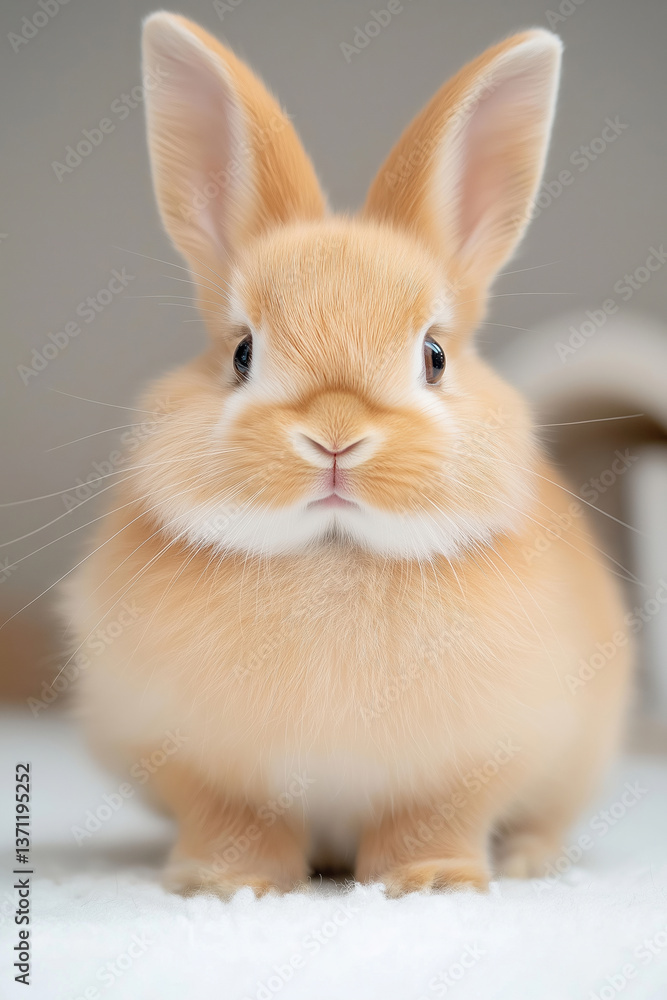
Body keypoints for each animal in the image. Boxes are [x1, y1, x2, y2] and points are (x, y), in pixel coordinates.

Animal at [64, 12, 632, 898]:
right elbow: (234, 823)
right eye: (241, 354)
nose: (335, 436)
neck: (333, 553)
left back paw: (529, 861)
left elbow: (432, 821)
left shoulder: (464, 766)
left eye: (434, 356)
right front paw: (225, 885)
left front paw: (432, 882)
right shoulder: (205, 772)